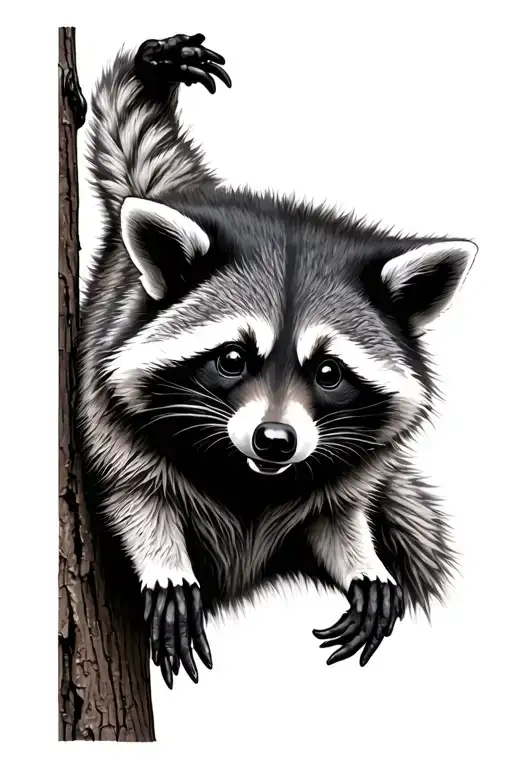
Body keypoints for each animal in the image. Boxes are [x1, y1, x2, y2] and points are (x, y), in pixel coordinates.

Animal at [78, 33, 476, 690]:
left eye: (329, 373)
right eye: (233, 359)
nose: (275, 440)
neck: (248, 479)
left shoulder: (342, 464)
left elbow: (335, 514)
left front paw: (359, 555)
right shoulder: (106, 401)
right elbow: (131, 490)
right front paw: (162, 556)